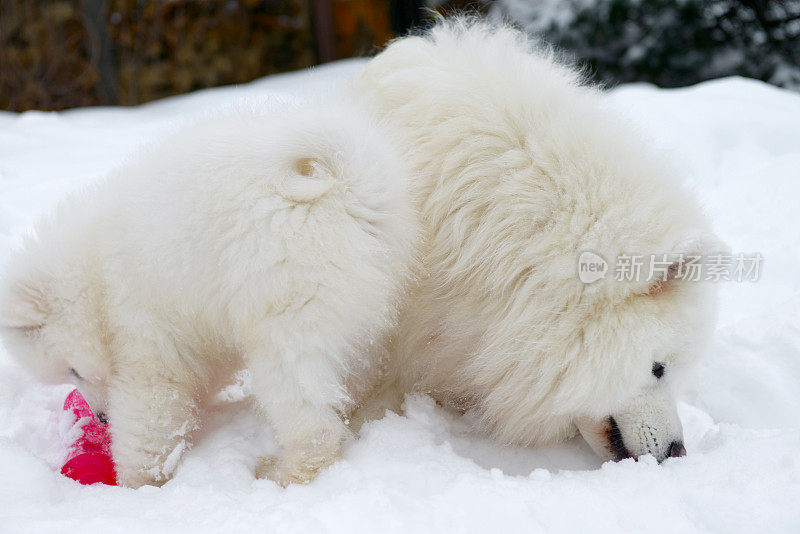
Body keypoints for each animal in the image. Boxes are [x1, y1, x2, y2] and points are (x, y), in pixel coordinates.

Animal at [1, 96, 418, 490]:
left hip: (287, 324)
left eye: (72, 370)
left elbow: (149, 417)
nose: (102, 418)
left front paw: (137, 484)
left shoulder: (146, 337)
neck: (96, 275)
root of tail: (352, 191)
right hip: (358, 320)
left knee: (313, 424)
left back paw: (283, 473)